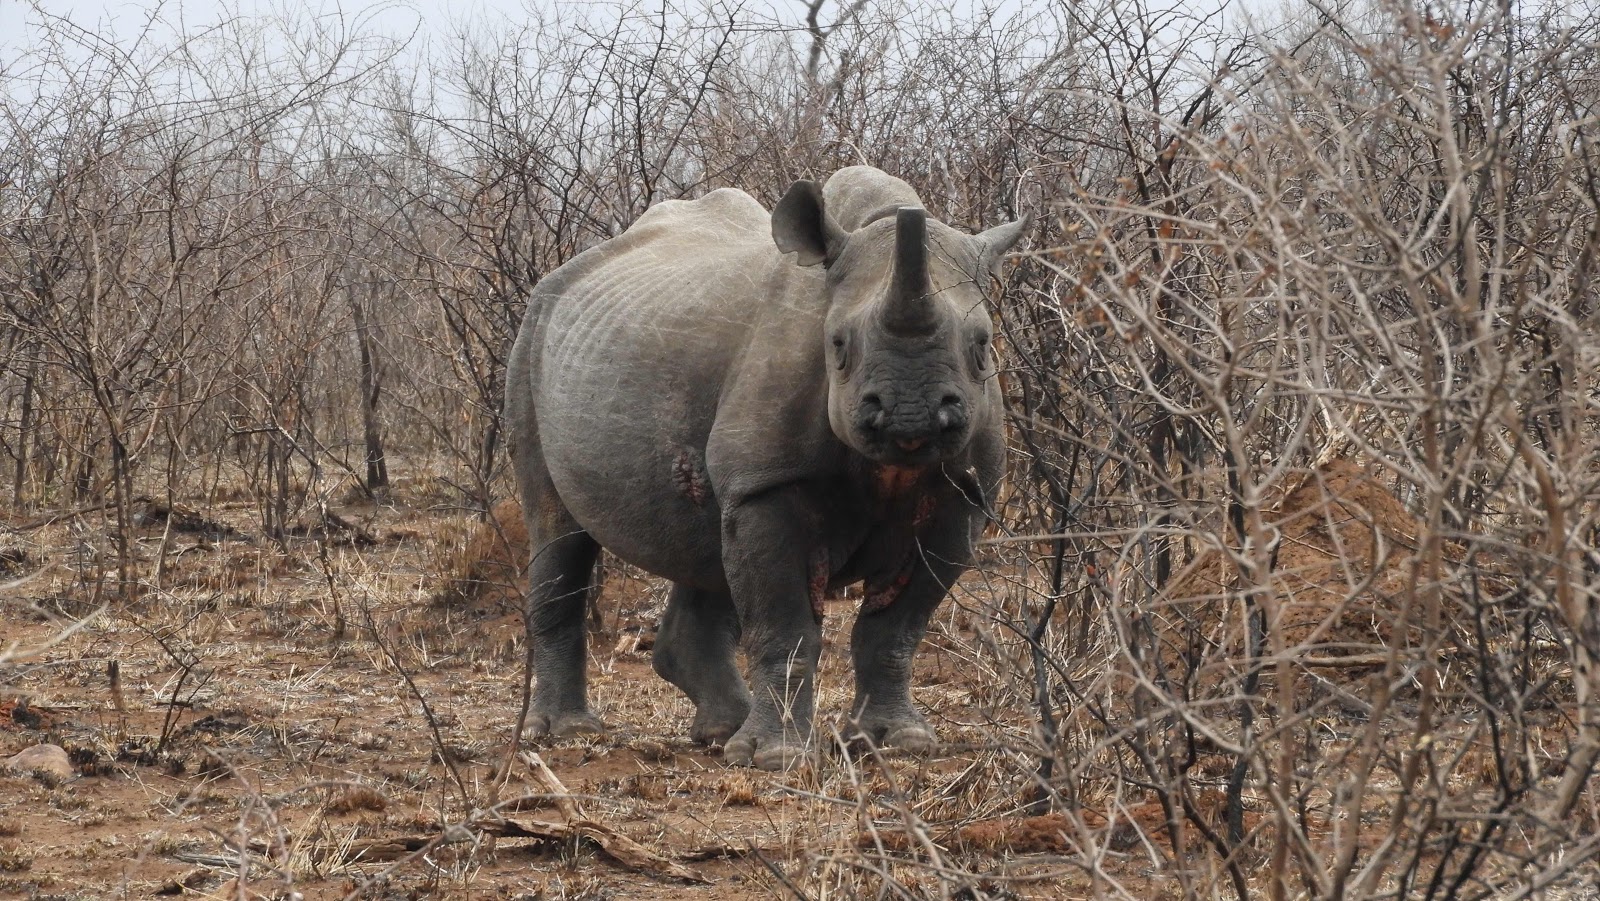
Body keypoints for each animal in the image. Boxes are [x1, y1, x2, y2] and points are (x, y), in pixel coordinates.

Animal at [502, 165, 1024, 771]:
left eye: (982, 344)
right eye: (837, 344)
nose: (910, 416)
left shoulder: (961, 496)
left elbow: (895, 629)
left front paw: (896, 742)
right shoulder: (768, 486)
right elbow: (785, 627)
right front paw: (773, 758)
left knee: (702, 541)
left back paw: (720, 729)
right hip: (531, 340)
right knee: (558, 530)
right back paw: (563, 733)